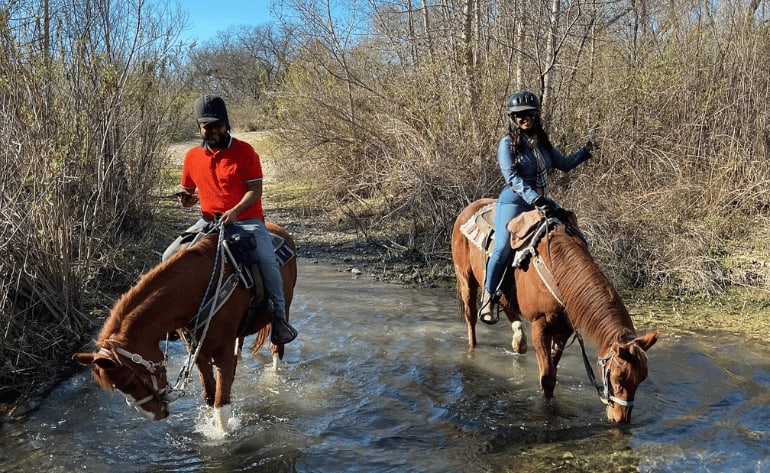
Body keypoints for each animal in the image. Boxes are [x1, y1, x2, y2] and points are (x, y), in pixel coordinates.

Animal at [72, 219, 296, 430]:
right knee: (238, 346)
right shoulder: (196, 348)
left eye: (134, 382)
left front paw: (222, 436)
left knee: (277, 349)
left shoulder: (221, 350)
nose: (153, 415)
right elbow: (209, 395)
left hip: (284, 308)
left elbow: (221, 405)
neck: (195, 290)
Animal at [450, 197, 660, 422]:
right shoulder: (540, 325)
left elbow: (553, 369)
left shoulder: (564, 329)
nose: (620, 419)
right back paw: (474, 346)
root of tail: (470, 208)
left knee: (510, 312)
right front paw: (548, 408)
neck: (557, 270)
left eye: (641, 379)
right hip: (466, 279)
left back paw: (518, 342)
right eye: (618, 378)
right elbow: (548, 377)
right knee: (471, 317)